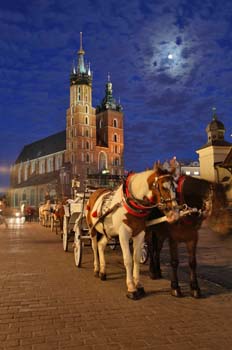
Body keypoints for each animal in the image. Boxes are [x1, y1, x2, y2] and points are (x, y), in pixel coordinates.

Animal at [85, 163, 178, 298]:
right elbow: (128, 260)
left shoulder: (140, 233)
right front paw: (131, 288)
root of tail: (95, 191)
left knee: (101, 245)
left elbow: (136, 258)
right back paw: (97, 269)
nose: (175, 214)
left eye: (175, 187)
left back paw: (103, 271)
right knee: (94, 246)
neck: (131, 202)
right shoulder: (123, 234)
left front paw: (138, 285)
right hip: (92, 229)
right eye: (163, 187)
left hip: (108, 232)